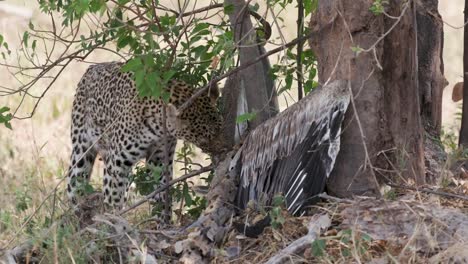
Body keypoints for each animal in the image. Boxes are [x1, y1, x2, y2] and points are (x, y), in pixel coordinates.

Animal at [65, 62, 223, 223]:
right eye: (204, 140)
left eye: (220, 127)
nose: (223, 149)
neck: (158, 128)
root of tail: (93, 67)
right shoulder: (117, 163)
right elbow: (113, 198)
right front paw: (112, 222)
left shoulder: (159, 160)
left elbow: (161, 195)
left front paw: (162, 222)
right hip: (81, 152)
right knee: (75, 188)